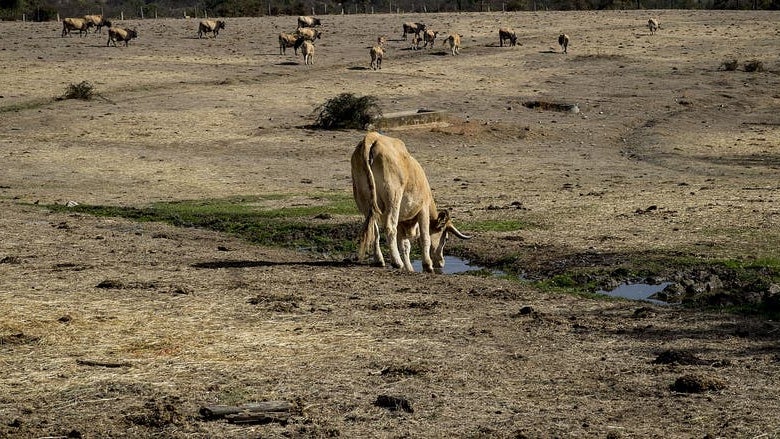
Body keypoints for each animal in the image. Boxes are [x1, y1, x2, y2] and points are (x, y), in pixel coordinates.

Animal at [352, 132, 470, 274]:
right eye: (445, 238)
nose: (441, 262)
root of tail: (373, 137)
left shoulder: (402, 221)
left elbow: (405, 245)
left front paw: (410, 268)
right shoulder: (423, 209)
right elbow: (425, 238)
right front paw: (427, 265)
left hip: (365, 201)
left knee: (374, 230)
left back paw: (379, 260)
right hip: (393, 198)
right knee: (390, 227)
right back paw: (397, 262)